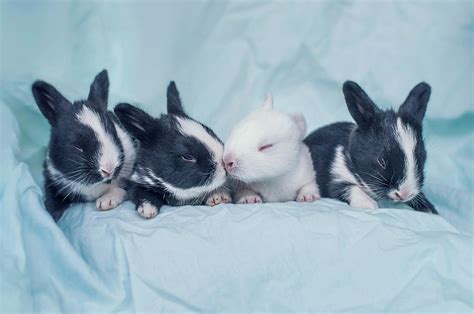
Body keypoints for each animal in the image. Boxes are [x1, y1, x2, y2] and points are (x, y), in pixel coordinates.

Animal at [31, 69, 136, 220]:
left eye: (113, 132)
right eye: (77, 145)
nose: (108, 169)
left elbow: (119, 187)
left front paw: (106, 201)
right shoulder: (51, 178)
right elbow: (52, 201)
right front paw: (51, 217)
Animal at [116, 81, 231, 218]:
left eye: (211, 132)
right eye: (187, 157)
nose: (224, 166)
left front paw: (218, 197)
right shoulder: (137, 182)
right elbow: (142, 194)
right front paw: (148, 209)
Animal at [304, 81, 436, 213]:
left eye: (422, 159)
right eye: (381, 161)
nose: (404, 194)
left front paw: (430, 210)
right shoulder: (336, 176)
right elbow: (352, 188)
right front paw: (368, 205)